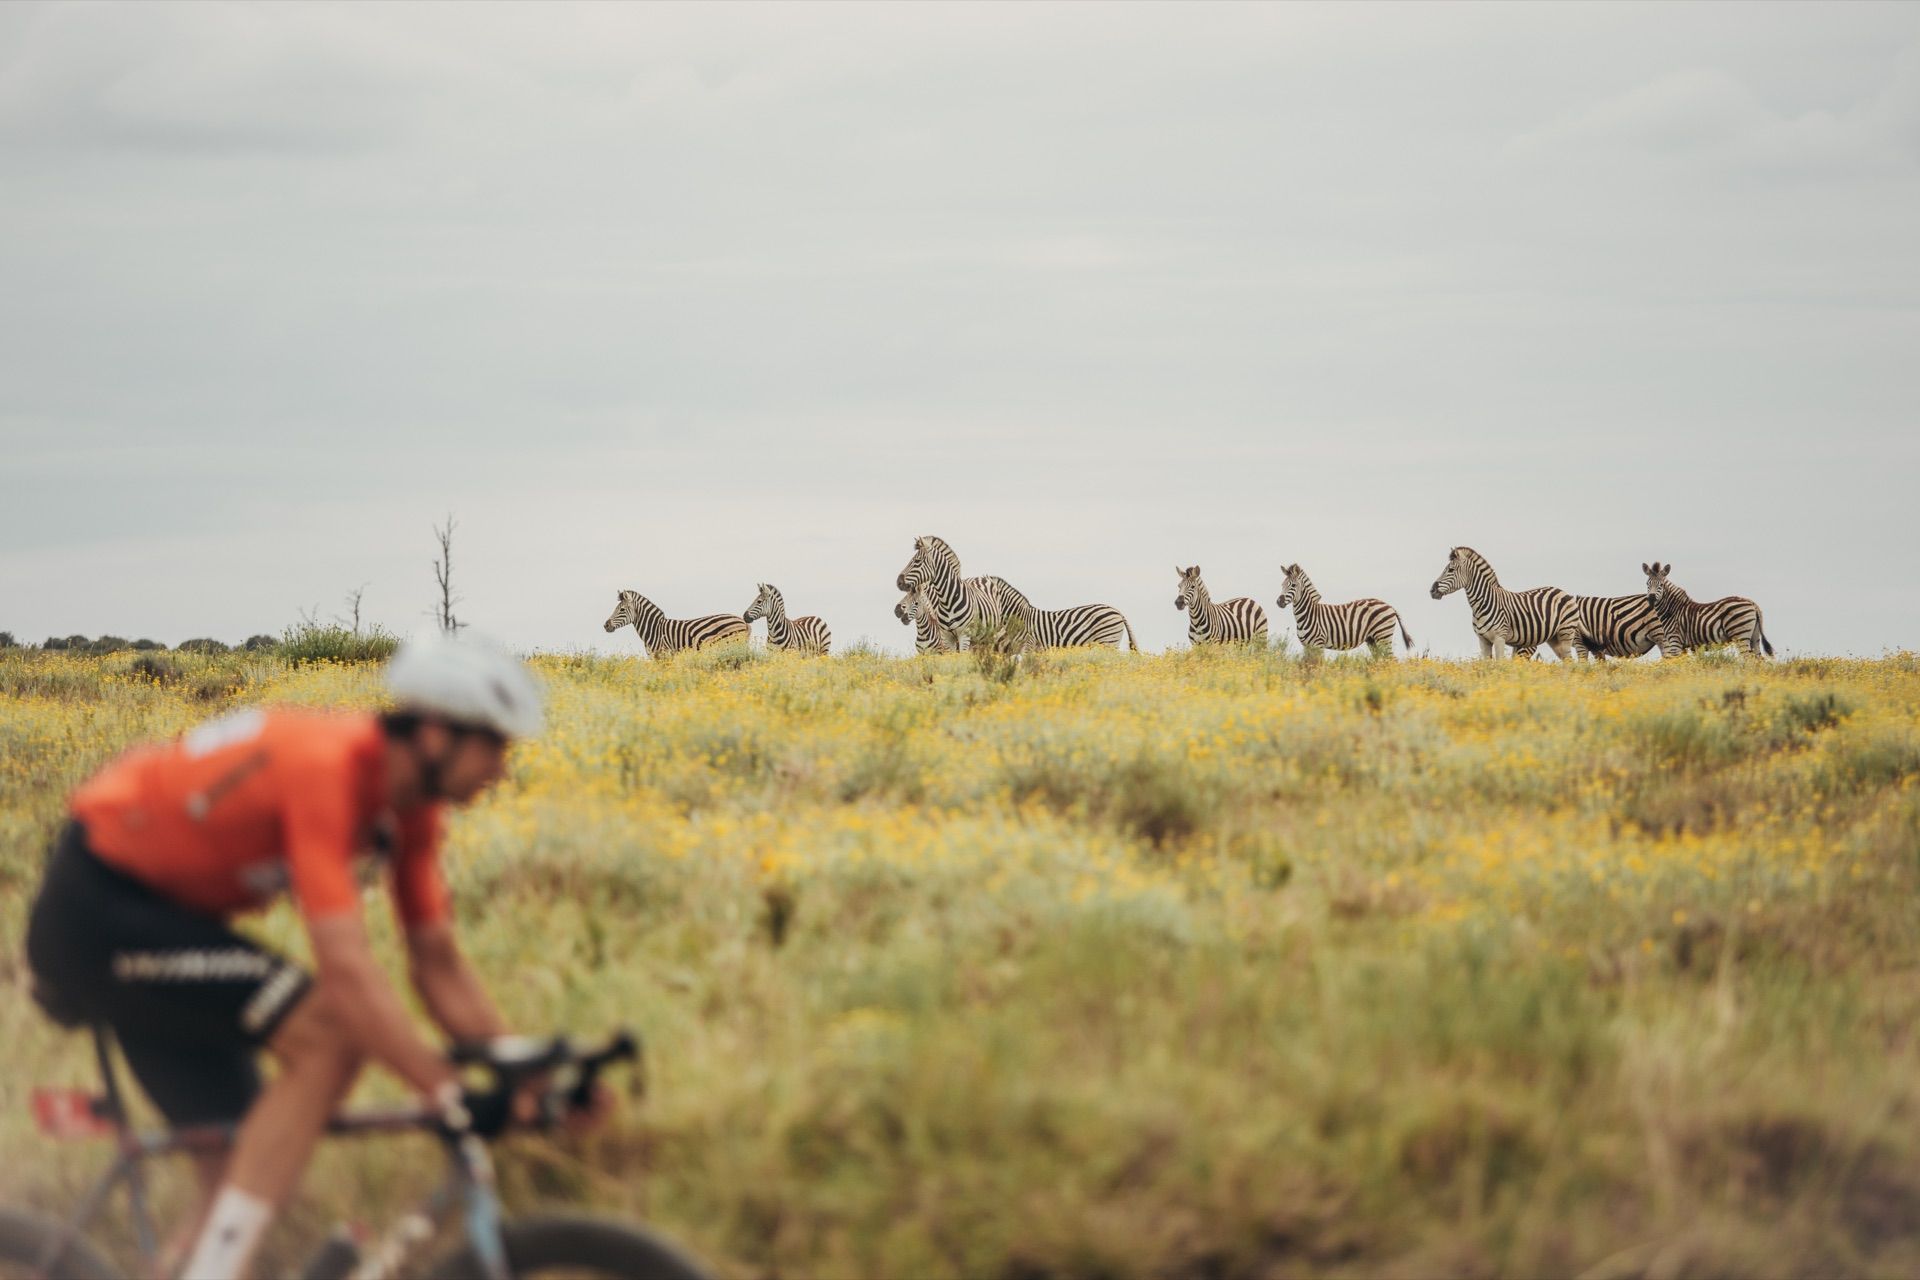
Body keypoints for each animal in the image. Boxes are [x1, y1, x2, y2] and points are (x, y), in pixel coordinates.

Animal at [894, 535, 1028, 651]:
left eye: (917, 561)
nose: (898, 582)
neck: (947, 600)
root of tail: (982, 577)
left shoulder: (964, 635)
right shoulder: (947, 637)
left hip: (991, 635)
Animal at [1275, 562, 1412, 660]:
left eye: (1293, 586)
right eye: (1282, 585)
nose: (1279, 602)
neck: (1308, 614)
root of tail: (1390, 606)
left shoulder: (1318, 644)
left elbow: (1317, 667)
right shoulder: (1307, 646)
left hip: (1383, 636)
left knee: (1392, 661)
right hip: (1372, 640)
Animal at [1427, 547, 1579, 660]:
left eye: (1451, 570)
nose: (1432, 590)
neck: (1482, 603)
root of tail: (1562, 591)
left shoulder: (1500, 638)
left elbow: (1500, 664)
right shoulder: (1483, 640)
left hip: (1566, 633)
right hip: (1554, 638)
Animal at [1643, 561, 1774, 658]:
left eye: (1661, 585)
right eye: (1647, 584)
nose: (1651, 598)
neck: (1672, 610)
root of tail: (1752, 603)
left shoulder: (1675, 641)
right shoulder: (1683, 645)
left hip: (1740, 635)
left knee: (1748, 659)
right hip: (1754, 636)